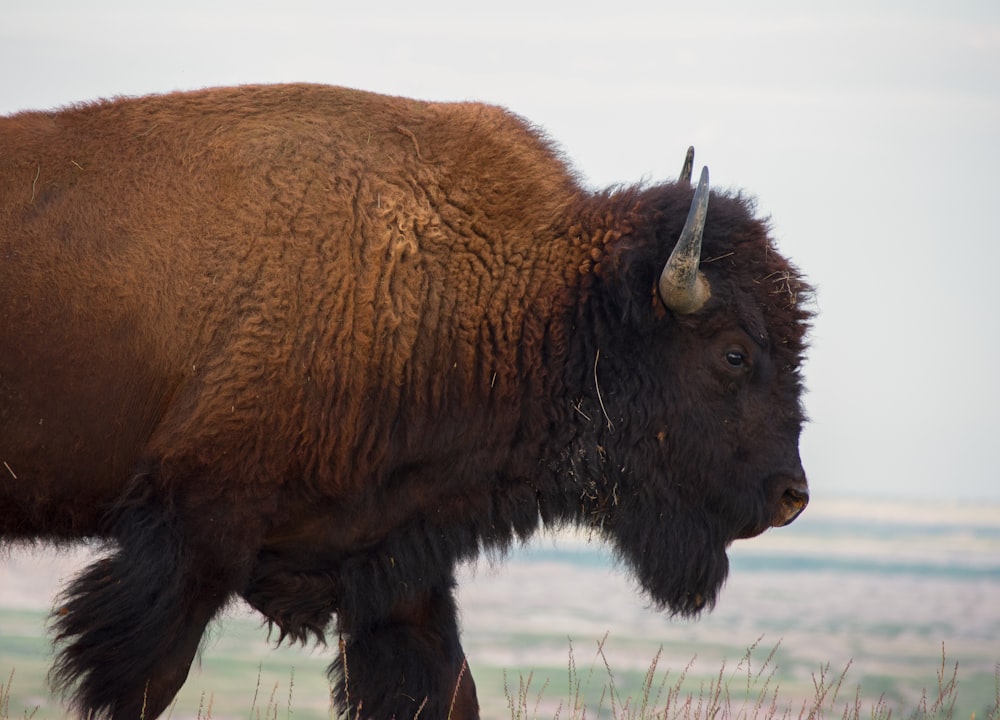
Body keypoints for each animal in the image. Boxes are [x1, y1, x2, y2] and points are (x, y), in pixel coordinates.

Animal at [0, 86, 812, 720]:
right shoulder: (195, 536)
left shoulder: (395, 561)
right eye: (734, 353)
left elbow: (445, 690)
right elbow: (144, 681)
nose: (791, 496)